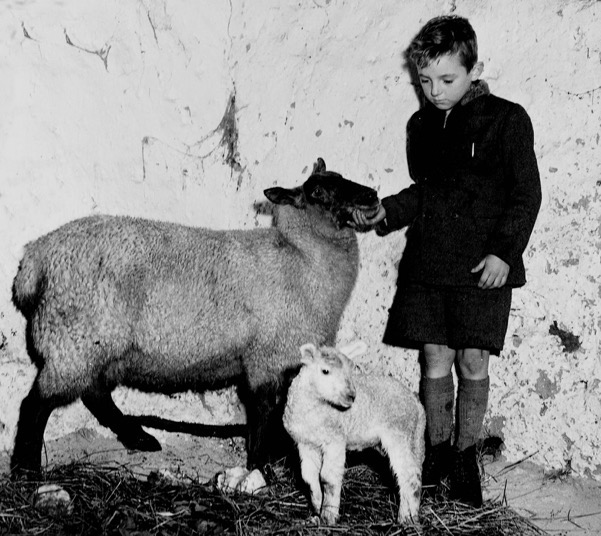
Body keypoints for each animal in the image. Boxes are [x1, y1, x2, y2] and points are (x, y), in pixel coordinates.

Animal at [10, 157, 380, 476]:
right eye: (318, 192)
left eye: (342, 177)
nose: (372, 196)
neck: (300, 256)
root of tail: (36, 259)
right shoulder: (265, 357)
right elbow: (263, 413)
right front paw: (259, 468)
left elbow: (280, 414)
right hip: (74, 341)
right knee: (35, 405)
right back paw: (26, 471)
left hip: (96, 347)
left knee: (95, 394)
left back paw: (139, 437)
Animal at [282, 344, 426, 524]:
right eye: (325, 371)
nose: (351, 396)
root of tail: (416, 403)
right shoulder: (306, 444)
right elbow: (309, 478)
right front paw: (317, 508)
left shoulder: (335, 440)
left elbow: (328, 478)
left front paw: (328, 515)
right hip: (410, 438)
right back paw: (408, 515)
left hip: (399, 434)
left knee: (410, 478)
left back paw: (407, 519)